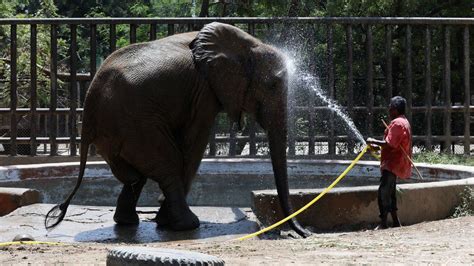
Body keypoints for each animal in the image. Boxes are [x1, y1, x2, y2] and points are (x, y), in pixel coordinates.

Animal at [45, 21, 312, 237]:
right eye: (272, 85)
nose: (305, 233)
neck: (248, 43)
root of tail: (90, 104)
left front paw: (163, 219)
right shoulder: (204, 92)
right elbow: (194, 141)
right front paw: (168, 220)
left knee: (136, 174)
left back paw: (131, 222)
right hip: (135, 124)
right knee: (165, 161)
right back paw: (187, 225)